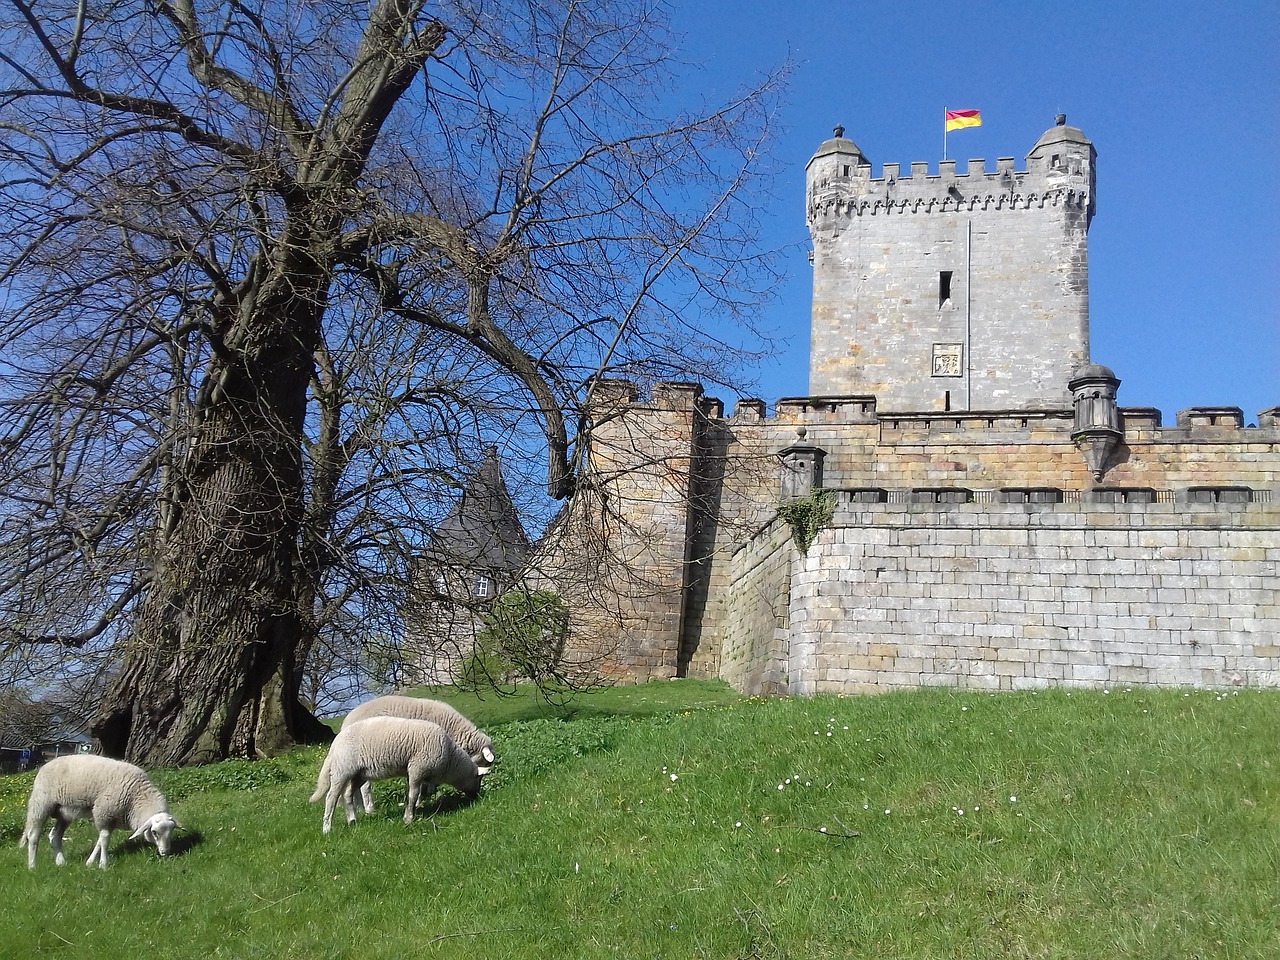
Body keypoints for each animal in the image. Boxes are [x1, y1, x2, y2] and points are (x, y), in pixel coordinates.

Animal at [19, 757, 180, 870]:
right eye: (154, 832)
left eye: (171, 831)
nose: (166, 853)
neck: (136, 798)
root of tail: (45, 766)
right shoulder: (103, 811)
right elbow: (105, 839)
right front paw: (103, 864)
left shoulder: (109, 818)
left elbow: (100, 839)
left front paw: (90, 862)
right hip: (41, 805)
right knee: (33, 836)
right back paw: (32, 866)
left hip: (64, 812)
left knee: (54, 835)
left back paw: (61, 862)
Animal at [309, 716, 488, 834]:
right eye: (478, 778)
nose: (476, 796)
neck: (450, 760)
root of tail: (334, 744)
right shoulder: (417, 767)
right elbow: (413, 794)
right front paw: (408, 818)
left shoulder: (416, 772)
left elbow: (416, 793)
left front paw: (413, 810)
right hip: (342, 769)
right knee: (331, 798)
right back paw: (326, 828)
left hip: (360, 774)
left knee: (347, 794)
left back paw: (352, 820)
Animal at [340, 696, 494, 814]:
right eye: (484, 763)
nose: (476, 793)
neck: (453, 729)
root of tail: (346, 722)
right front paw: (421, 799)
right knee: (365, 787)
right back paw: (369, 809)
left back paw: (360, 809)